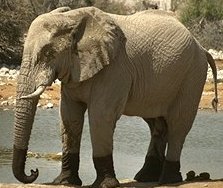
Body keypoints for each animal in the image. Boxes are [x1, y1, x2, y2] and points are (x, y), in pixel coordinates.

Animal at [12, 6, 218, 188]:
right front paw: (64, 182)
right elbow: (69, 118)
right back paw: (146, 177)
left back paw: (168, 180)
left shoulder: (115, 69)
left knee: (178, 124)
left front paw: (105, 184)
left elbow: (100, 116)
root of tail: (201, 47)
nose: (33, 172)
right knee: (157, 124)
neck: (73, 19)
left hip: (192, 76)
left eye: (48, 53)